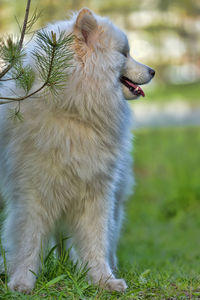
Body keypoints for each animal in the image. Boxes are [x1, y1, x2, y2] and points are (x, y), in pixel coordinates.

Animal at [0, 8, 155, 292]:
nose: (153, 71)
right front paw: (22, 282)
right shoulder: (32, 194)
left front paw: (104, 280)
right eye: (124, 54)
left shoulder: (97, 192)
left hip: (117, 196)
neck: (74, 113)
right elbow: (28, 240)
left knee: (109, 237)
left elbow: (97, 241)